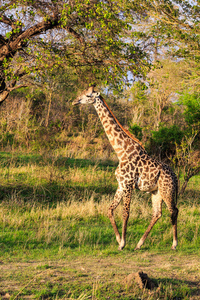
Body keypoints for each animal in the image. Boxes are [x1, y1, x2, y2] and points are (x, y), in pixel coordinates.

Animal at [72, 85, 179, 251]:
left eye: (88, 95)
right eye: (83, 93)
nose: (75, 101)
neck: (120, 151)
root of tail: (175, 176)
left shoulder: (128, 184)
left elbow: (125, 213)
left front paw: (122, 243)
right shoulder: (121, 184)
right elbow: (110, 209)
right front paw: (118, 240)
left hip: (167, 190)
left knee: (173, 210)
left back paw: (174, 244)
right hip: (156, 192)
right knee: (157, 213)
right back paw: (139, 244)